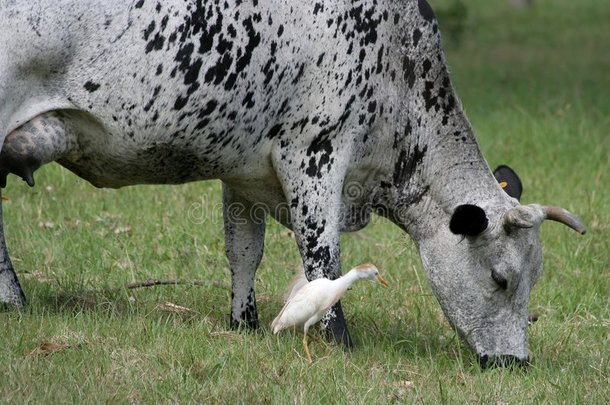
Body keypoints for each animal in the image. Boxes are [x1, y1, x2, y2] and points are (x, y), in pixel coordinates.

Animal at [0, 0, 584, 366]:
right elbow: (322, 259)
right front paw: (339, 341)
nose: (516, 363)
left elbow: (243, 252)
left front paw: (244, 323)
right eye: (501, 278)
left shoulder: (243, 175)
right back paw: (14, 302)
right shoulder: (315, 156)